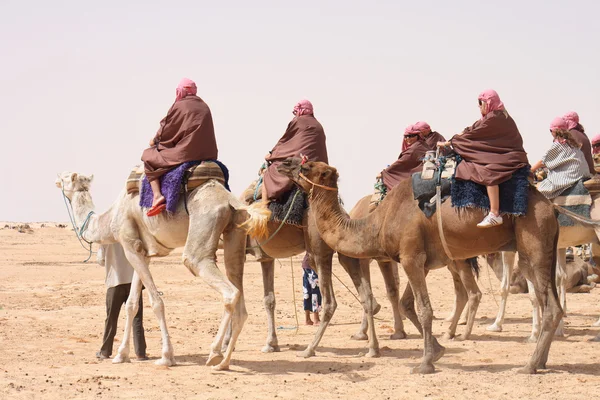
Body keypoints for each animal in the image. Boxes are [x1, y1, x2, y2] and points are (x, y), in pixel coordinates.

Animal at [56, 170, 268, 370]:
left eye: (66, 177)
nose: (56, 178)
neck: (110, 217)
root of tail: (231, 201)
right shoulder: (142, 253)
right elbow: (132, 304)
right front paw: (121, 355)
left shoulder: (129, 244)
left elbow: (156, 302)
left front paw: (166, 357)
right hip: (237, 228)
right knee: (238, 287)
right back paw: (223, 363)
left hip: (204, 226)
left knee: (224, 287)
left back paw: (214, 353)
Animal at [272, 158, 564, 374]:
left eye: (307, 166)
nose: (282, 163)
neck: (376, 222)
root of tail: (550, 207)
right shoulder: (417, 261)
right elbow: (406, 304)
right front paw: (437, 351)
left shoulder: (411, 256)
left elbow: (425, 309)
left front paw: (424, 364)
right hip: (536, 250)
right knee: (551, 303)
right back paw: (541, 361)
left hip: (534, 239)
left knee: (548, 305)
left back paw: (529, 365)